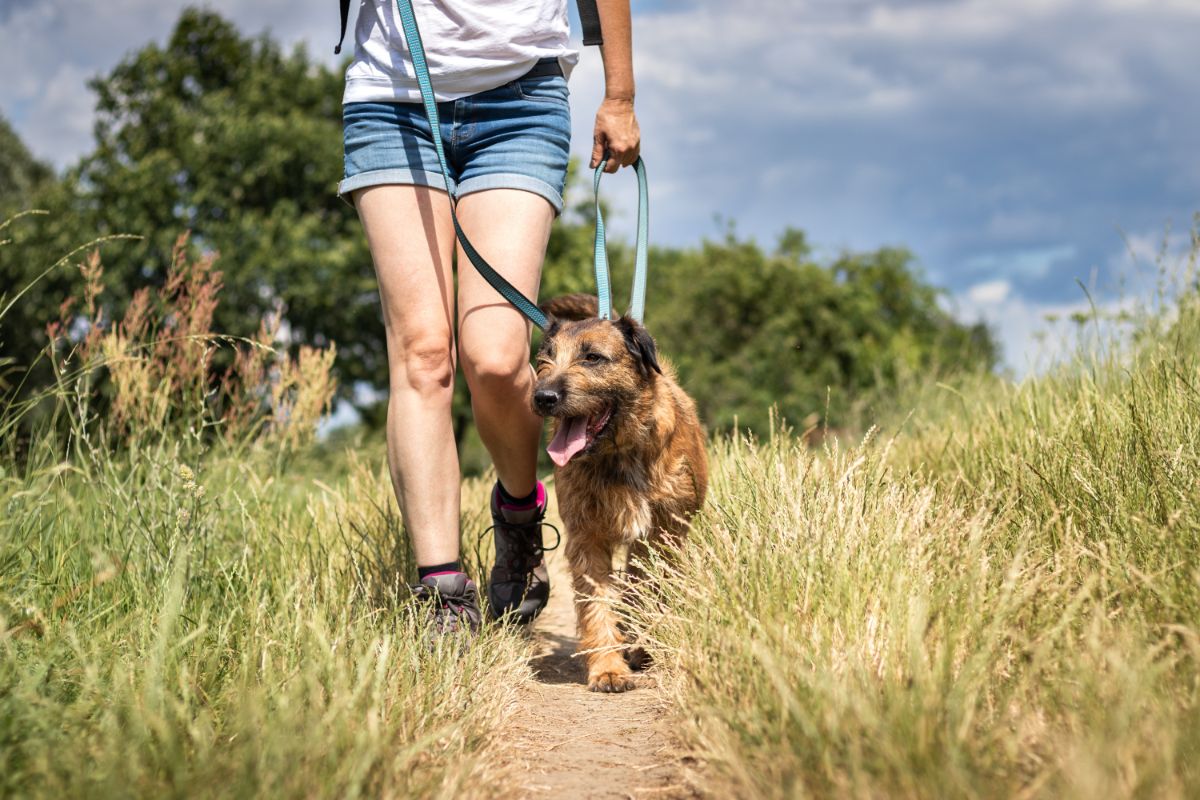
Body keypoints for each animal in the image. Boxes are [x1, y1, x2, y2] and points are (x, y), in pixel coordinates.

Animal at [532, 296, 705, 695]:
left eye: (593, 357)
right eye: (545, 358)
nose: (543, 397)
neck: (619, 454)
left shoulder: (665, 534)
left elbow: (650, 589)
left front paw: (639, 644)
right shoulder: (587, 538)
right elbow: (597, 602)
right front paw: (608, 669)